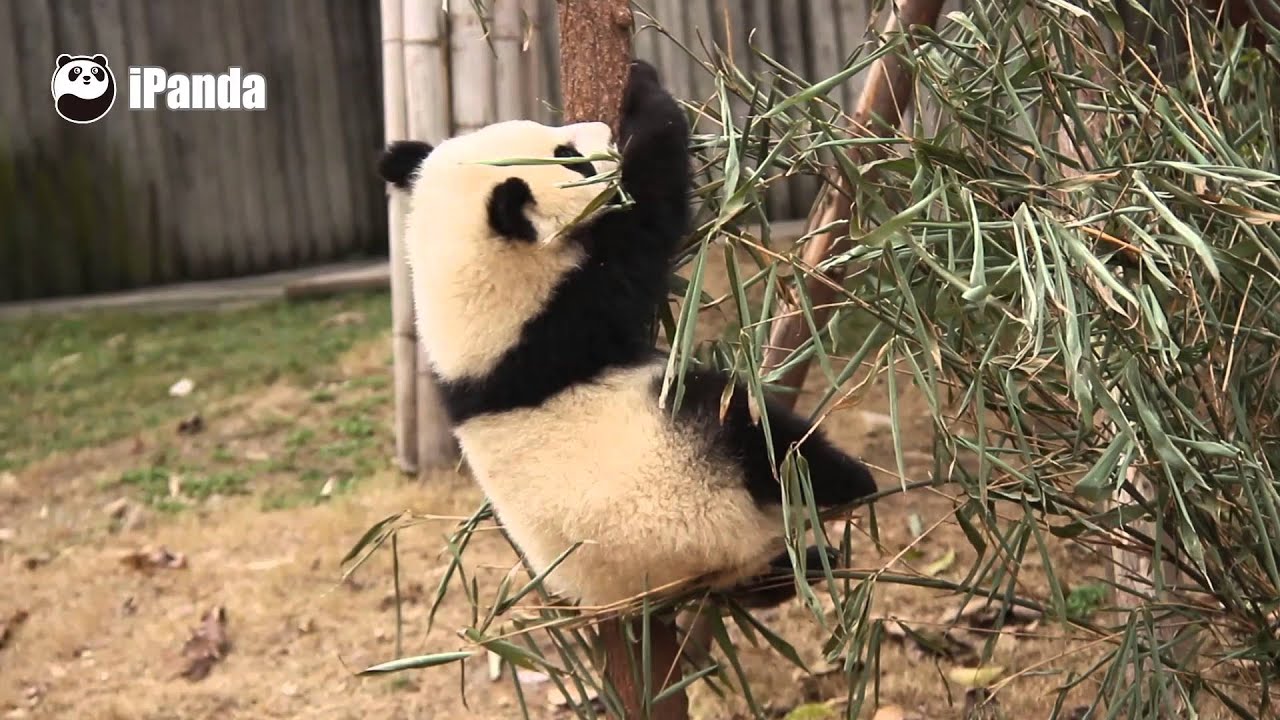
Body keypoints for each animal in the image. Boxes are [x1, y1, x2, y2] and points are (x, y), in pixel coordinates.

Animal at [378, 60, 877, 609]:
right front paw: (646, 92)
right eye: (570, 158)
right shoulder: (567, 309)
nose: (600, 128)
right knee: (759, 435)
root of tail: (690, 574)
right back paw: (851, 483)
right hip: (694, 471)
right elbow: (650, 211)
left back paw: (801, 565)